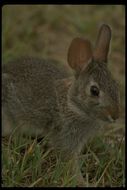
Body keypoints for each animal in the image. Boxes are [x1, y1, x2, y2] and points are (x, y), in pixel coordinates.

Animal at [1, 23, 120, 186]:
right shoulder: (65, 138)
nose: (116, 115)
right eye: (94, 91)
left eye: (115, 85)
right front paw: (83, 182)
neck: (73, 105)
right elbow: (70, 164)